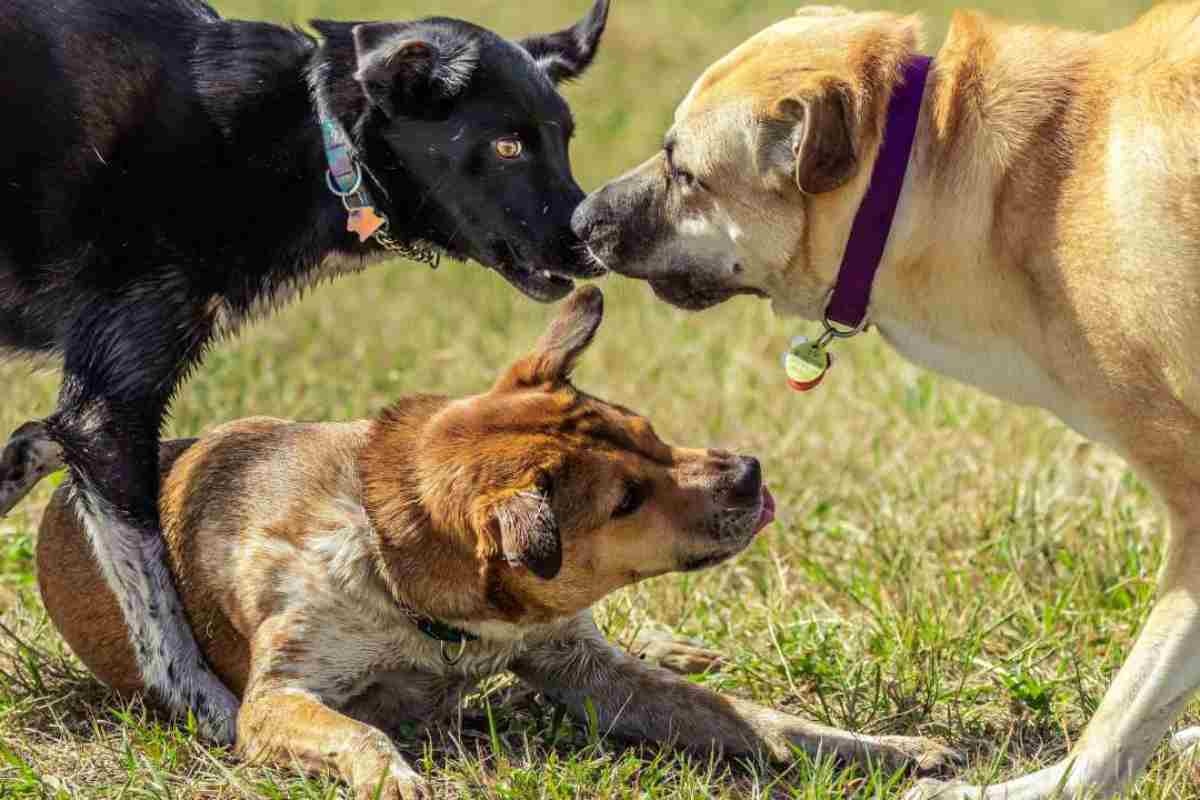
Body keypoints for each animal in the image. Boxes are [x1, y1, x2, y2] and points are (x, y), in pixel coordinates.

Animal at [0, 0, 604, 743]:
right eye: (507, 147)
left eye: (565, 139)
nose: (595, 243)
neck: (309, 135)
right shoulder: (110, 406)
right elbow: (160, 608)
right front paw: (214, 716)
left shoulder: (89, 406)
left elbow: (33, 442)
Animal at [30, 287, 955, 800]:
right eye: (625, 501)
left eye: (650, 432)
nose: (750, 472)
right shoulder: (277, 699)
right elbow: (354, 732)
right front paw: (391, 776)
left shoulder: (587, 669)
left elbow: (765, 719)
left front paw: (887, 751)